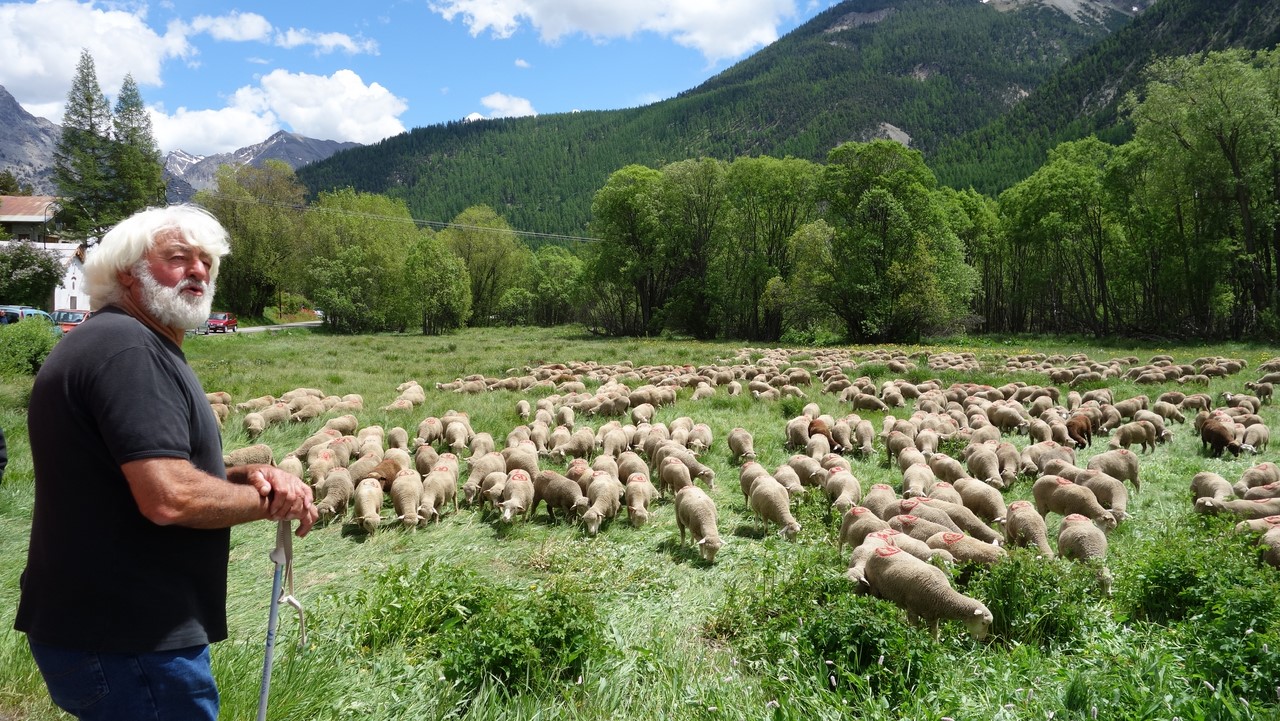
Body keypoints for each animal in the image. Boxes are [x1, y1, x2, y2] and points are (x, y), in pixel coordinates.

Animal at [865, 545, 993, 640]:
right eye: (983, 623)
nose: (981, 639)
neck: (941, 594)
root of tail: (878, 549)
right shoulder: (912, 610)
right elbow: (914, 629)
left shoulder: (933, 616)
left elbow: (934, 634)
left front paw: (936, 648)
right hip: (874, 587)